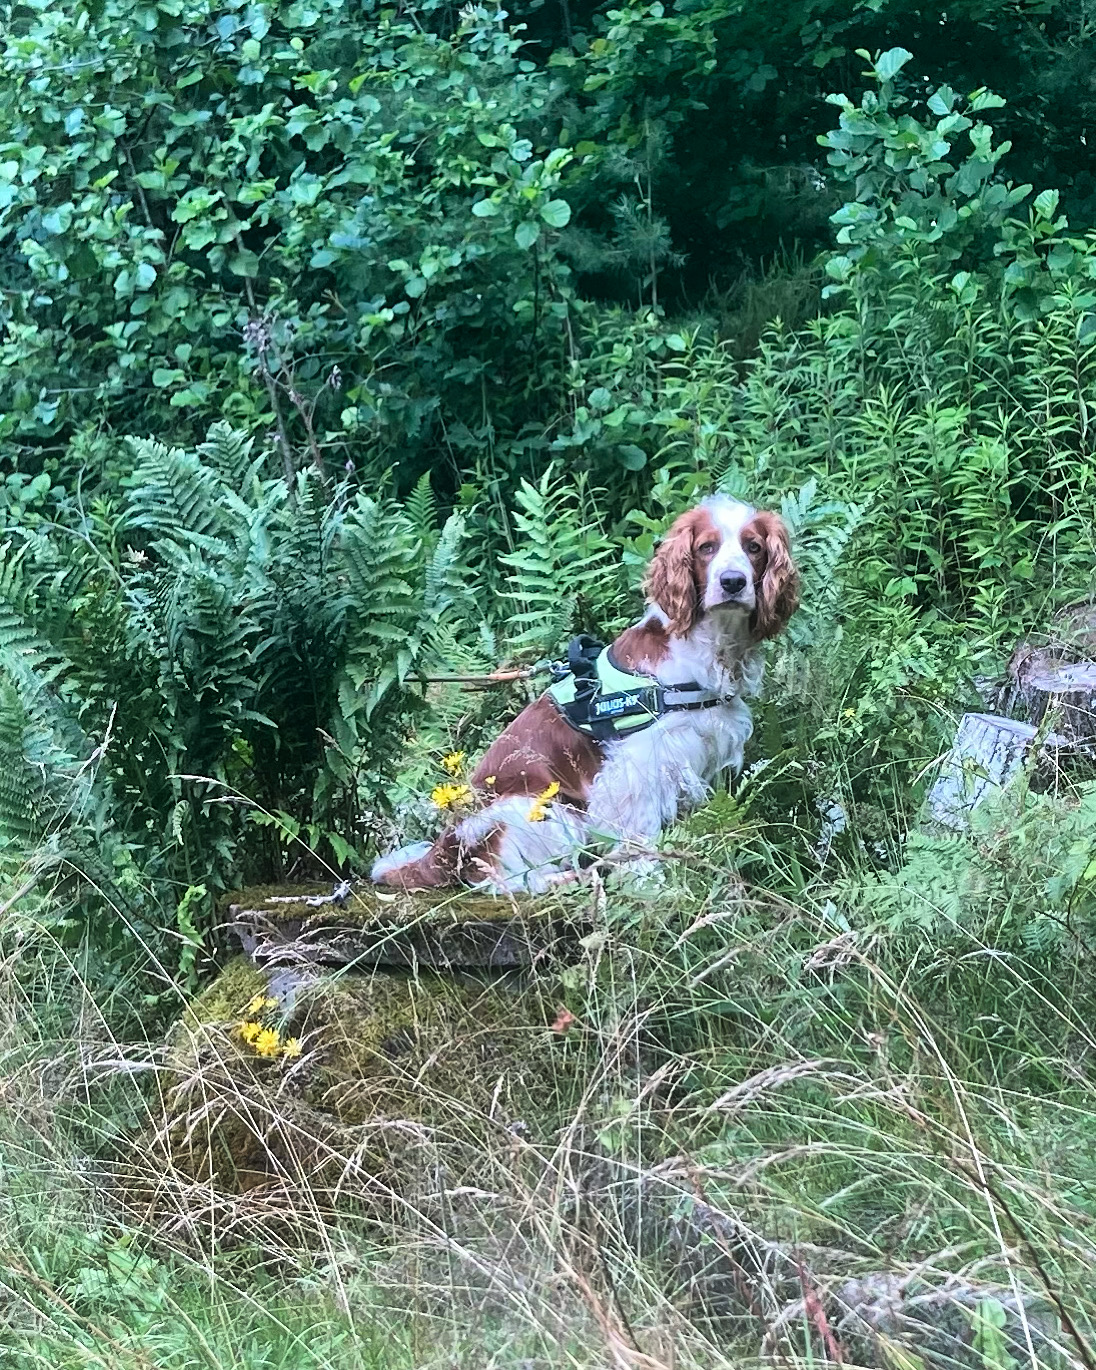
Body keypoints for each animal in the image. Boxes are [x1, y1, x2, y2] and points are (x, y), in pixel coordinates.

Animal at [369, 498, 794, 893]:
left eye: (753, 547)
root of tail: (443, 848)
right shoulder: (638, 764)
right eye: (707, 547)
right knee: (507, 881)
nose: (733, 582)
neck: (709, 650)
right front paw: (651, 880)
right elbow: (639, 833)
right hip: (538, 808)